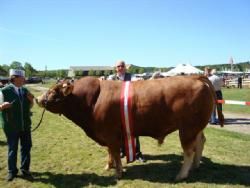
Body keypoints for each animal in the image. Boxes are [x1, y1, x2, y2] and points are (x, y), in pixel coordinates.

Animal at [35, 75, 225, 181]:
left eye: (53, 92)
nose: (37, 99)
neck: (91, 100)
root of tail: (196, 77)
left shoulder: (110, 134)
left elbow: (114, 152)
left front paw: (118, 172)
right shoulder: (107, 133)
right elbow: (110, 152)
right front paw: (109, 166)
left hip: (187, 128)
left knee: (188, 150)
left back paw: (181, 175)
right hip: (197, 128)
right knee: (200, 143)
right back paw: (195, 166)